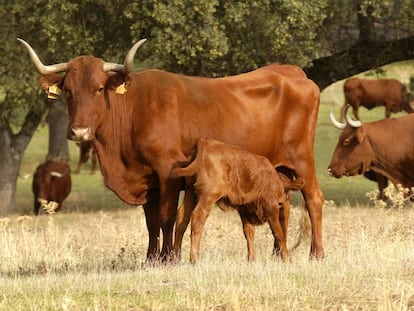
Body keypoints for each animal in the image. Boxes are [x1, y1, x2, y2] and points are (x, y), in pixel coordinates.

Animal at [171, 139, 304, 264]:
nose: (283, 201)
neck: (274, 179)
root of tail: (206, 142)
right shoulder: (271, 208)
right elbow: (278, 233)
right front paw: (287, 258)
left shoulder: (245, 210)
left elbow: (249, 233)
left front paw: (251, 260)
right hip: (208, 196)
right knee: (197, 218)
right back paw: (194, 259)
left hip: (191, 193)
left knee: (182, 218)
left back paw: (176, 259)